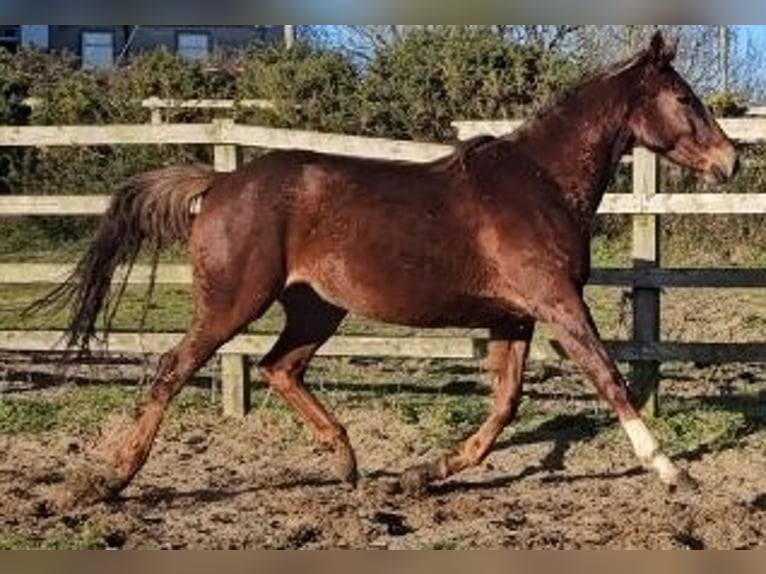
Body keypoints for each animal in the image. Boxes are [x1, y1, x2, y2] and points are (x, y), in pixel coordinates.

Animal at [33, 32, 738, 503]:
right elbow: (608, 378)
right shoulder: (558, 303)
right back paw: (109, 481)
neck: (539, 184)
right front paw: (672, 471)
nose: (730, 162)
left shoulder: (514, 317)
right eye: (683, 97)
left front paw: (423, 474)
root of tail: (220, 184)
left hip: (316, 306)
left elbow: (505, 405)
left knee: (278, 367)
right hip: (234, 302)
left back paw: (347, 462)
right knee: (173, 370)